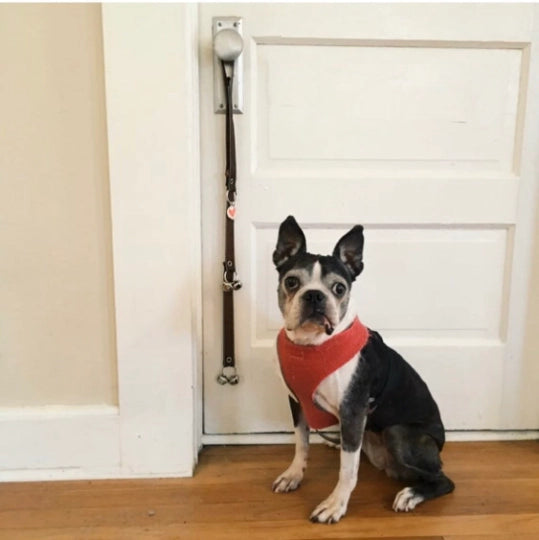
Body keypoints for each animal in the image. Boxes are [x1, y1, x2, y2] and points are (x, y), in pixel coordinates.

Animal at [272, 215, 454, 524]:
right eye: (292, 281)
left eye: (339, 288)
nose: (314, 296)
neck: (314, 345)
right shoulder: (296, 402)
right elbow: (301, 442)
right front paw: (294, 474)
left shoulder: (353, 410)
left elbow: (347, 470)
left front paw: (335, 504)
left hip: (398, 433)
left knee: (442, 480)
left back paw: (412, 493)